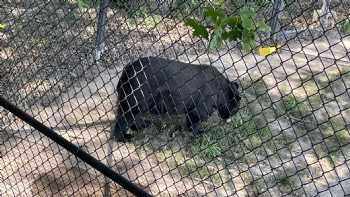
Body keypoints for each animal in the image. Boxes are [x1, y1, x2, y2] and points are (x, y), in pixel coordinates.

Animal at [112, 57, 241, 142]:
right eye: (236, 108)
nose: (230, 116)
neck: (222, 89)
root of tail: (128, 68)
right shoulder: (200, 109)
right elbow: (195, 123)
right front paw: (198, 133)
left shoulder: (192, 108)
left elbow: (190, 121)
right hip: (135, 102)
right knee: (122, 120)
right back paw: (124, 138)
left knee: (132, 118)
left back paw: (143, 125)